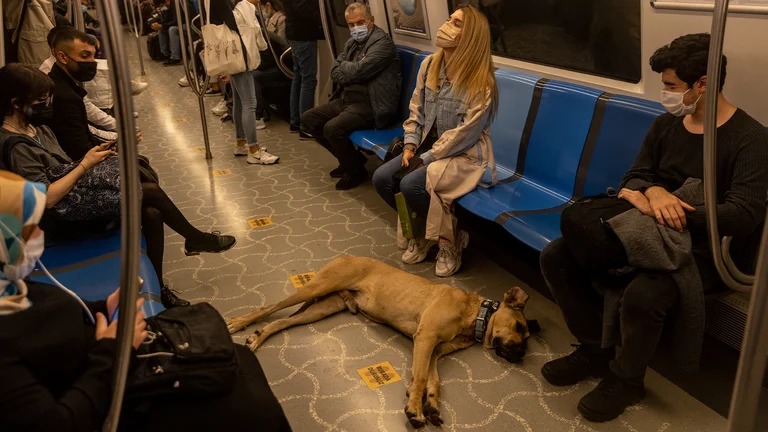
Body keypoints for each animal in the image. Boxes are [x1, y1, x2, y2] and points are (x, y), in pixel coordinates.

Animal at [225, 256, 532, 428]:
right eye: (519, 326)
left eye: (526, 336)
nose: (521, 354)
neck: (474, 315)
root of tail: (347, 254)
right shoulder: (425, 338)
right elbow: (421, 377)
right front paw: (415, 409)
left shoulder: (435, 350)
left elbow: (433, 380)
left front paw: (431, 405)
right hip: (317, 287)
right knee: (271, 307)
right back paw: (239, 322)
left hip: (323, 307)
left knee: (282, 321)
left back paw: (258, 336)